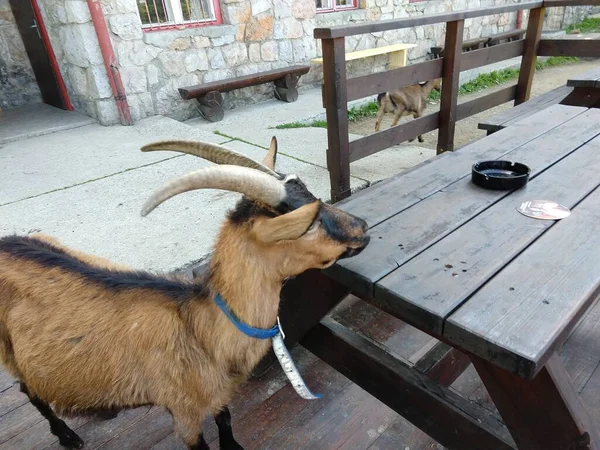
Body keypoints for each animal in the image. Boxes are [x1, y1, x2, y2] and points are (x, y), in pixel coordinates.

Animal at [0, 138, 370, 450]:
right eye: (307, 224)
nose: (363, 228)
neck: (200, 328)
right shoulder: (184, 412)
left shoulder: (220, 395)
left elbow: (226, 421)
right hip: (8, 350)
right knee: (27, 389)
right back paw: (68, 436)